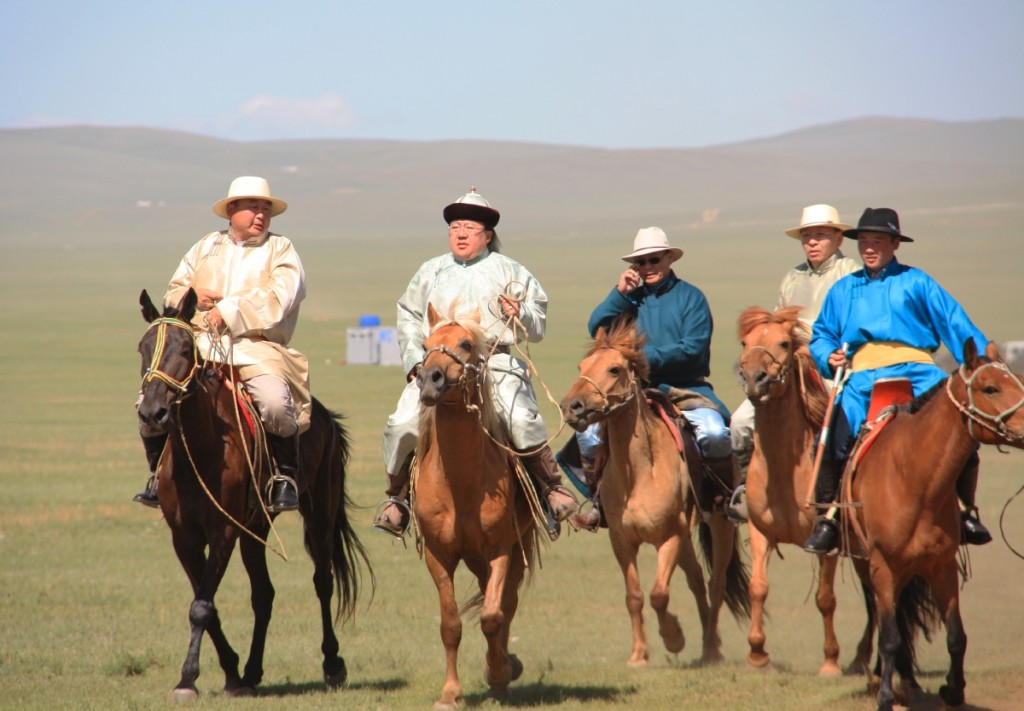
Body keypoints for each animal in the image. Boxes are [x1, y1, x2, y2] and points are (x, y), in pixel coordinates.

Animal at [136, 288, 372, 700]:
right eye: (143, 348)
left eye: (186, 348)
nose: (153, 413)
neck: (200, 449)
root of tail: (323, 415)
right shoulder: (184, 538)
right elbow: (207, 604)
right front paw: (229, 671)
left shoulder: (224, 532)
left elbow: (201, 605)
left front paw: (188, 678)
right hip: (256, 529)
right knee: (264, 594)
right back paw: (251, 671)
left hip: (320, 516)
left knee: (323, 581)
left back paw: (332, 663)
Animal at [409, 303, 544, 708]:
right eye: (426, 344)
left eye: (466, 344)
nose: (430, 380)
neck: (461, 484)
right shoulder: (439, 554)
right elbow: (451, 624)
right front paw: (450, 693)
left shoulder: (501, 548)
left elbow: (492, 616)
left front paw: (499, 671)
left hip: (515, 550)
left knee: (506, 604)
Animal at [733, 307, 876, 672]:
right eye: (745, 342)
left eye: (783, 343)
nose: (754, 379)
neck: (785, 468)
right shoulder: (760, 532)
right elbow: (758, 587)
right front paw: (757, 653)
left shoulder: (824, 541)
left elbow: (825, 599)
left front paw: (830, 660)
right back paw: (862, 659)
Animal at [847, 342, 1024, 711]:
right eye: (990, 388)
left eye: (1021, 379)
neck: (915, 479)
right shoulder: (882, 566)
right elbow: (889, 635)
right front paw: (886, 698)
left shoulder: (942, 566)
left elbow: (956, 635)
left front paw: (953, 690)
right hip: (866, 566)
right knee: (884, 617)